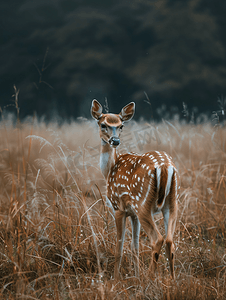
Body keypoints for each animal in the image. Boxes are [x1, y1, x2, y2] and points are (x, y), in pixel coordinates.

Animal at [91, 99, 179, 280]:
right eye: (103, 124)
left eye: (121, 125)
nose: (115, 141)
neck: (109, 170)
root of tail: (165, 167)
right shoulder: (133, 214)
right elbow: (135, 247)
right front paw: (136, 276)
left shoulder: (118, 207)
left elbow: (119, 247)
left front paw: (116, 278)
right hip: (172, 202)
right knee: (170, 241)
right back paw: (173, 280)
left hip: (143, 204)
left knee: (157, 239)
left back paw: (149, 278)